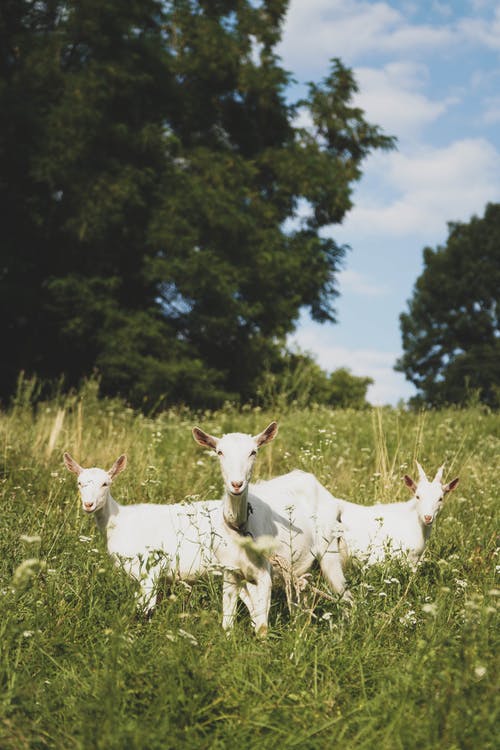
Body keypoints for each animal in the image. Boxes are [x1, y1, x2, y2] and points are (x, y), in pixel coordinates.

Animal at [62, 452, 223, 616]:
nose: (88, 504)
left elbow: (146, 608)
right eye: (79, 483)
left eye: (105, 484)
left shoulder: (150, 569)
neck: (120, 522)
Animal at [191, 426, 352, 636]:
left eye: (253, 452)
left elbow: (262, 627)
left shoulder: (264, 573)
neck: (241, 528)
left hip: (329, 548)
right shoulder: (230, 572)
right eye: (219, 452)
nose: (237, 484)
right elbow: (228, 623)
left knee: (344, 593)